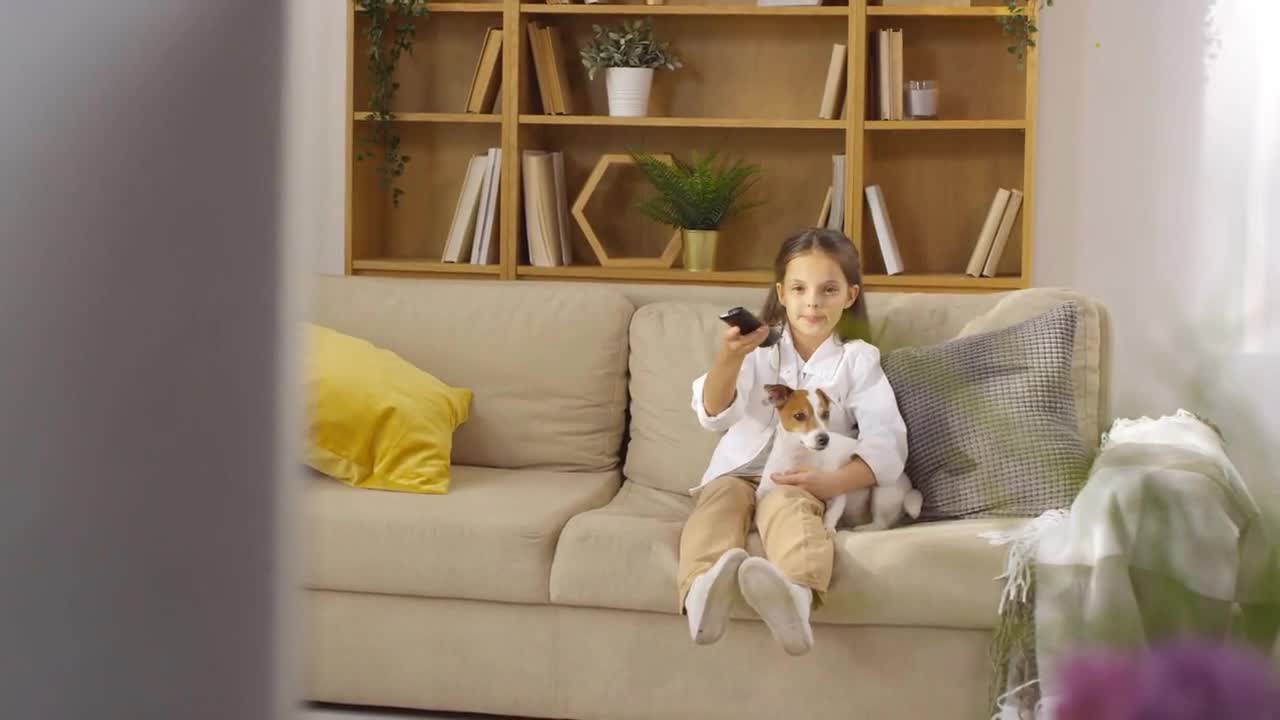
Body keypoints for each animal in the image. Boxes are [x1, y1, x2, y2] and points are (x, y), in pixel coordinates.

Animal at [752, 384, 926, 530]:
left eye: (826, 414)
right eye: (799, 416)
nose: (824, 438)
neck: (799, 455)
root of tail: (909, 486)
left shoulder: (834, 490)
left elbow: (831, 514)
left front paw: (828, 529)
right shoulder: (764, 490)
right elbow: (757, 504)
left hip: (881, 491)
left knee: (880, 524)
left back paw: (861, 529)